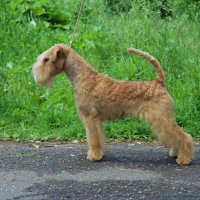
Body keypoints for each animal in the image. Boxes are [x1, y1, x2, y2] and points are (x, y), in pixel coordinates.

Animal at [32, 44, 194, 166]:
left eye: (46, 59)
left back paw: (184, 159)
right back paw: (176, 153)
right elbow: (98, 138)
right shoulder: (95, 119)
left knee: (185, 136)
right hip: (163, 118)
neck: (83, 77)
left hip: (160, 118)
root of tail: (159, 82)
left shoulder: (90, 117)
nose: (36, 75)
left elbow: (93, 139)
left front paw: (94, 156)